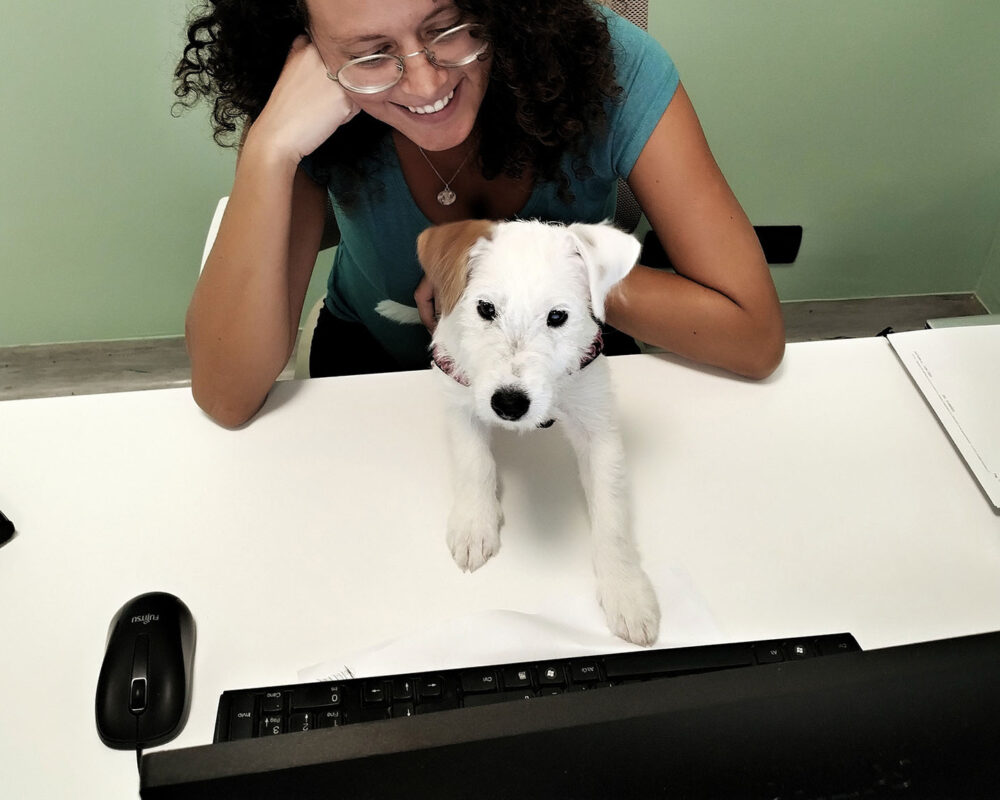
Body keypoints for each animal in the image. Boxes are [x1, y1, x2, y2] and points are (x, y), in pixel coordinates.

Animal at [416, 220, 660, 648]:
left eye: (558, 316)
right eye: (485, 309)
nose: (509, 404)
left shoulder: (598, 427)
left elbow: (611, 516)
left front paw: (625, 589)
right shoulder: (460, 399)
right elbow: (474, 462)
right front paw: (475, 523)